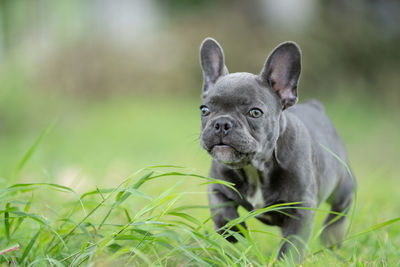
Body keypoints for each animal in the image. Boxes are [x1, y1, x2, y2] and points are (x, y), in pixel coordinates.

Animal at [198, 37, 354, 262]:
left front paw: (286, 261)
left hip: (342, 185)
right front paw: (233, 231)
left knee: (340, 210)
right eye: (204, 110)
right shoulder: (218, 185)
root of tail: (316, 106)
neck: (255, 168)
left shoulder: (300, 209)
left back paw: (331, 238)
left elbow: (292, 245)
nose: (221, 123)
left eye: (255, 112)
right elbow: (221, 210)